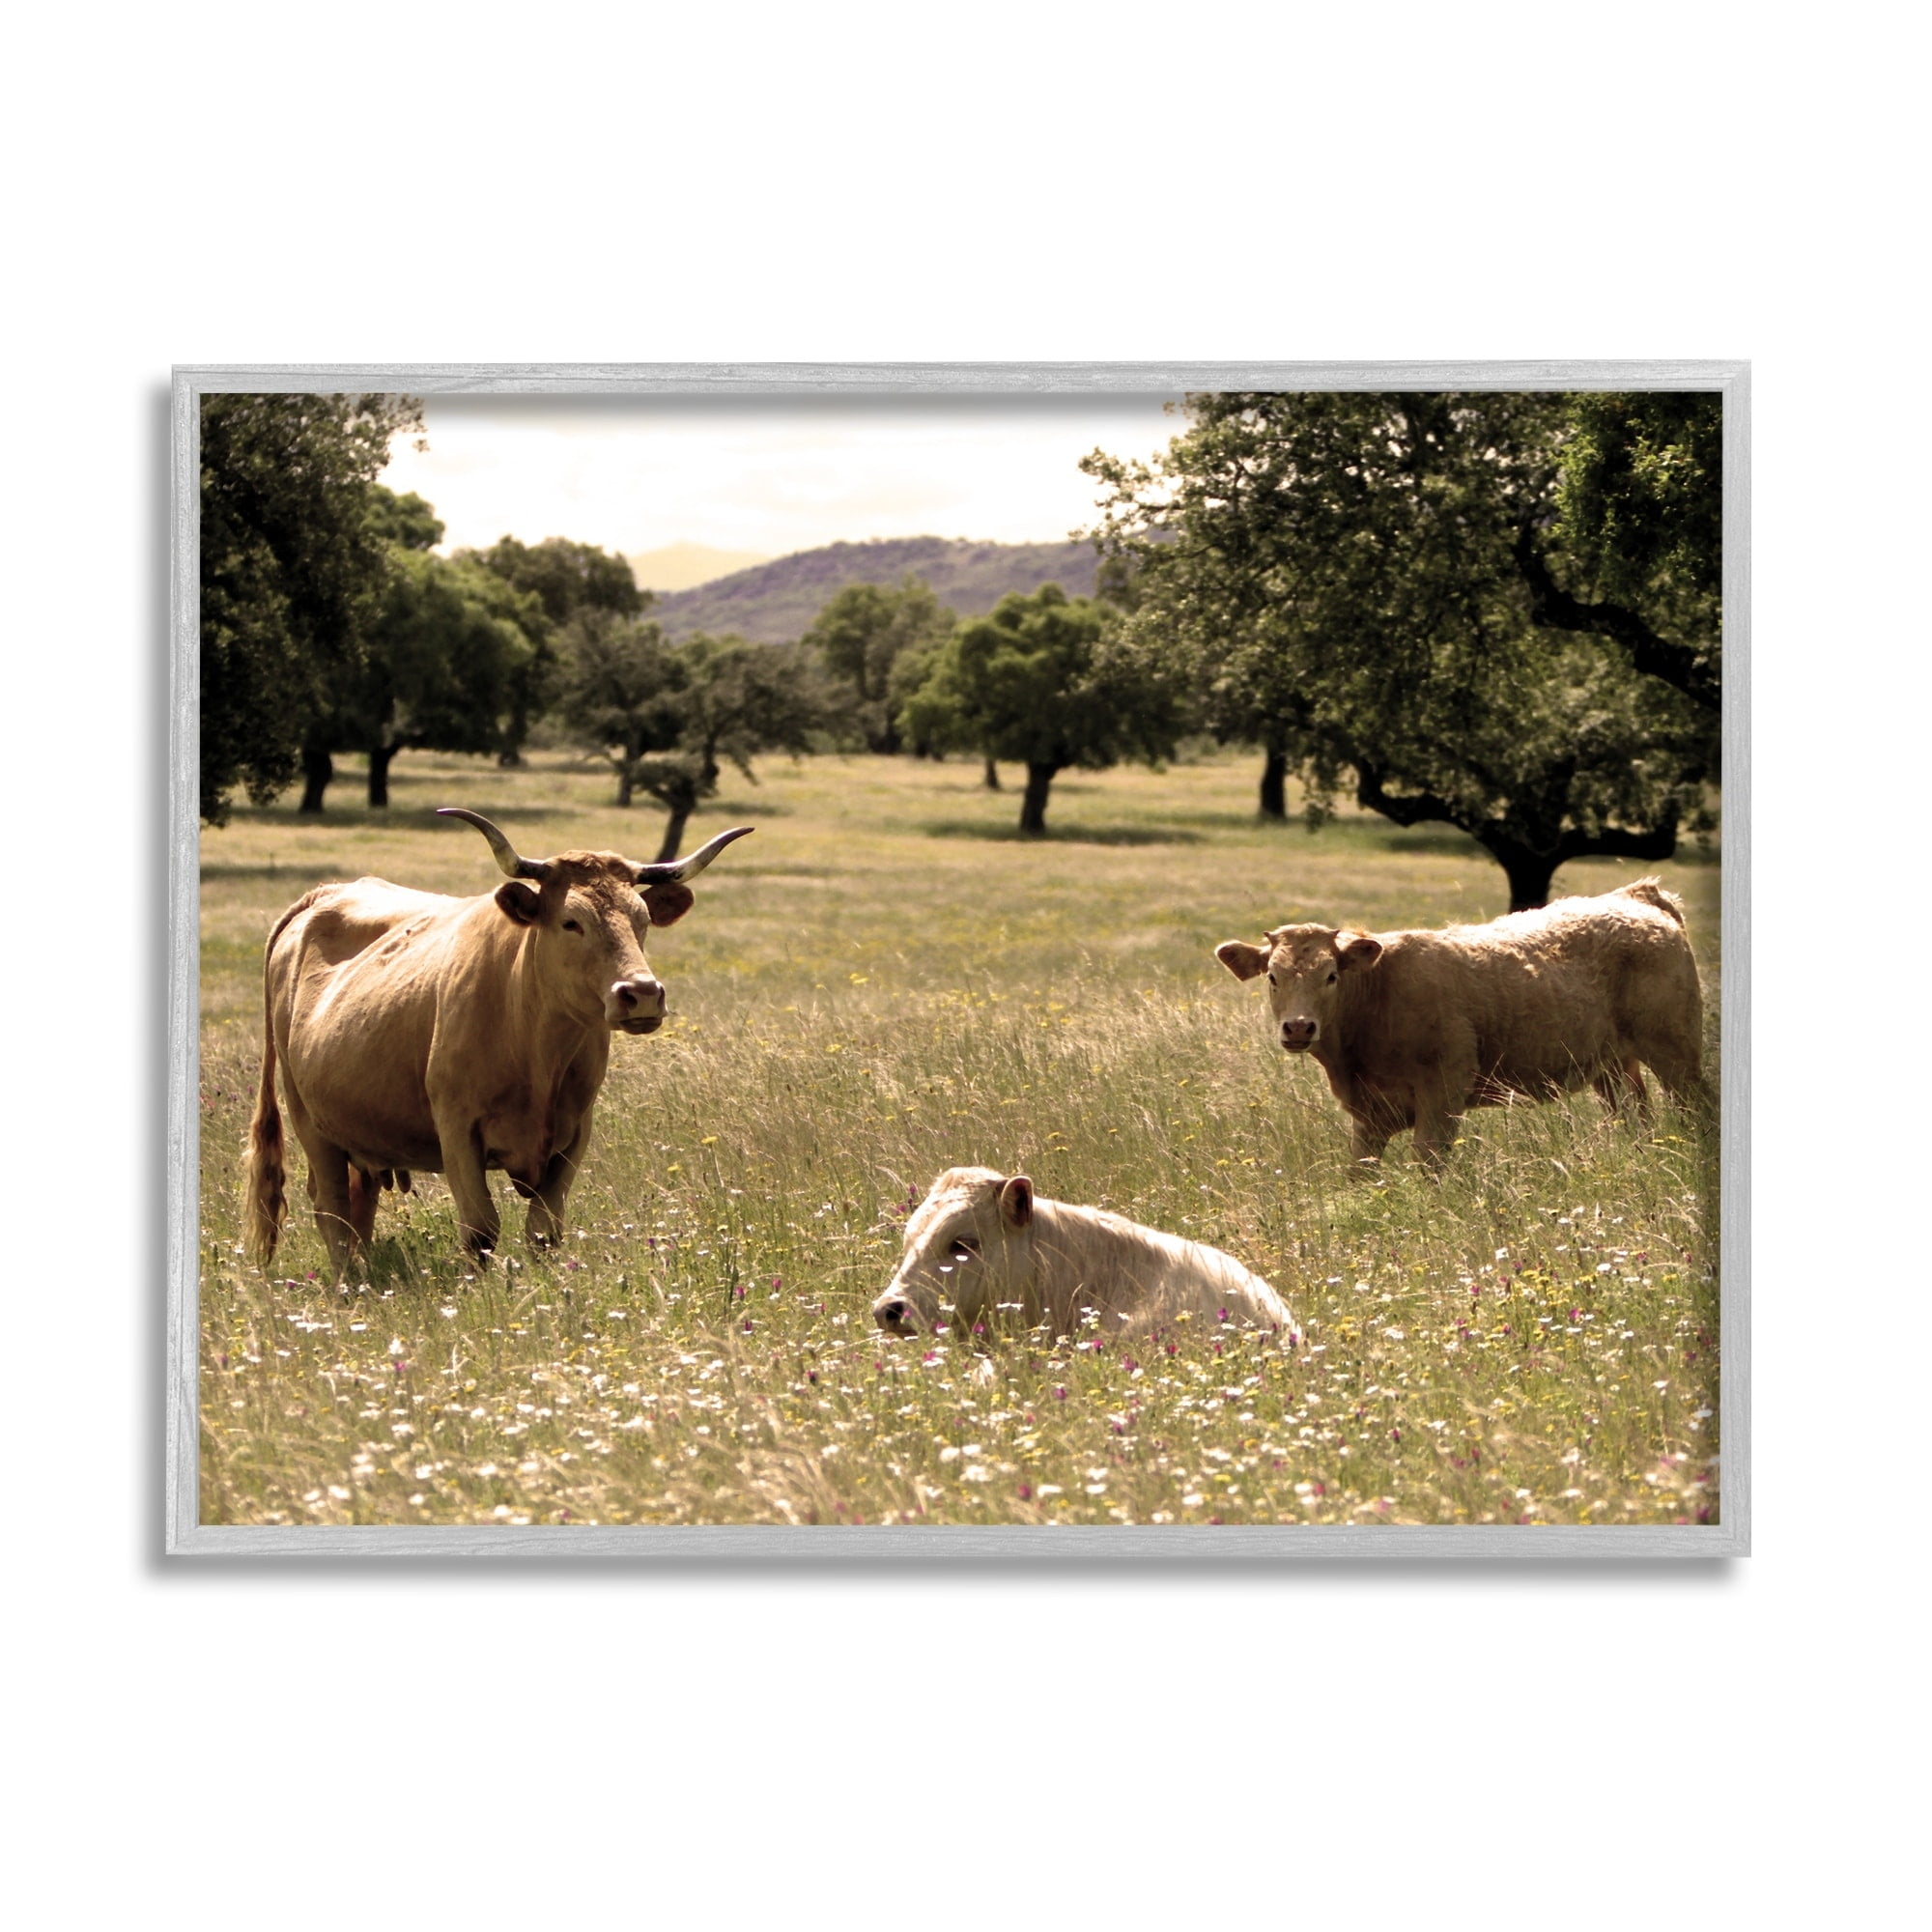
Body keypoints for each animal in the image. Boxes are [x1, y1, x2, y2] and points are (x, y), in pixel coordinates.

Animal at [243, 809, 751, 1272]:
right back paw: (348, 1284)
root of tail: (325, 893)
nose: (642, 993)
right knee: (330, 1207)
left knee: (357, 1205)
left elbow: (544, 1230)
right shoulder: (457, 1129)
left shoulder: (575, 1134)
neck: (535, 1049)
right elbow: (480, 1229)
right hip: (309, 1120)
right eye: (571, 921)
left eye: (642, 919)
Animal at [1213, 877, 1704, 1167]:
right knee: (1636, 1117)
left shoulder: (1442, 1095)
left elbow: (1428, 1165)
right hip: (1614, 1066)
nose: (1298, 1028)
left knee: (1693, 1108)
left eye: (1331, 975)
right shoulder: (1368, 1119)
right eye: (1272, 976)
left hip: (1676, 1052)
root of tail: (1635, 896)